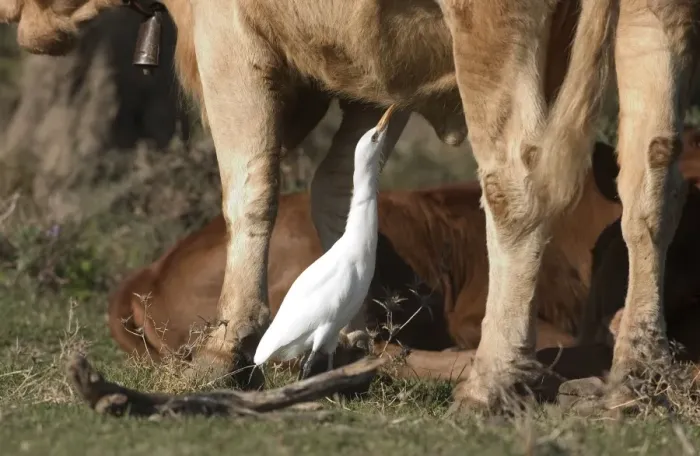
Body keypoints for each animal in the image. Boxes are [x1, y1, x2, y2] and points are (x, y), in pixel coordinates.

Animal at [3, 0, 697, 410]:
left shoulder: (228, 32)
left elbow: (250, 186)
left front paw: (227, 349)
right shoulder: (374, 77)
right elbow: (339, 183)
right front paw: (352, 336)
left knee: (517, 184)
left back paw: (493, 377)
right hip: (655, 22)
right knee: (652, 185)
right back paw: (637, 373)